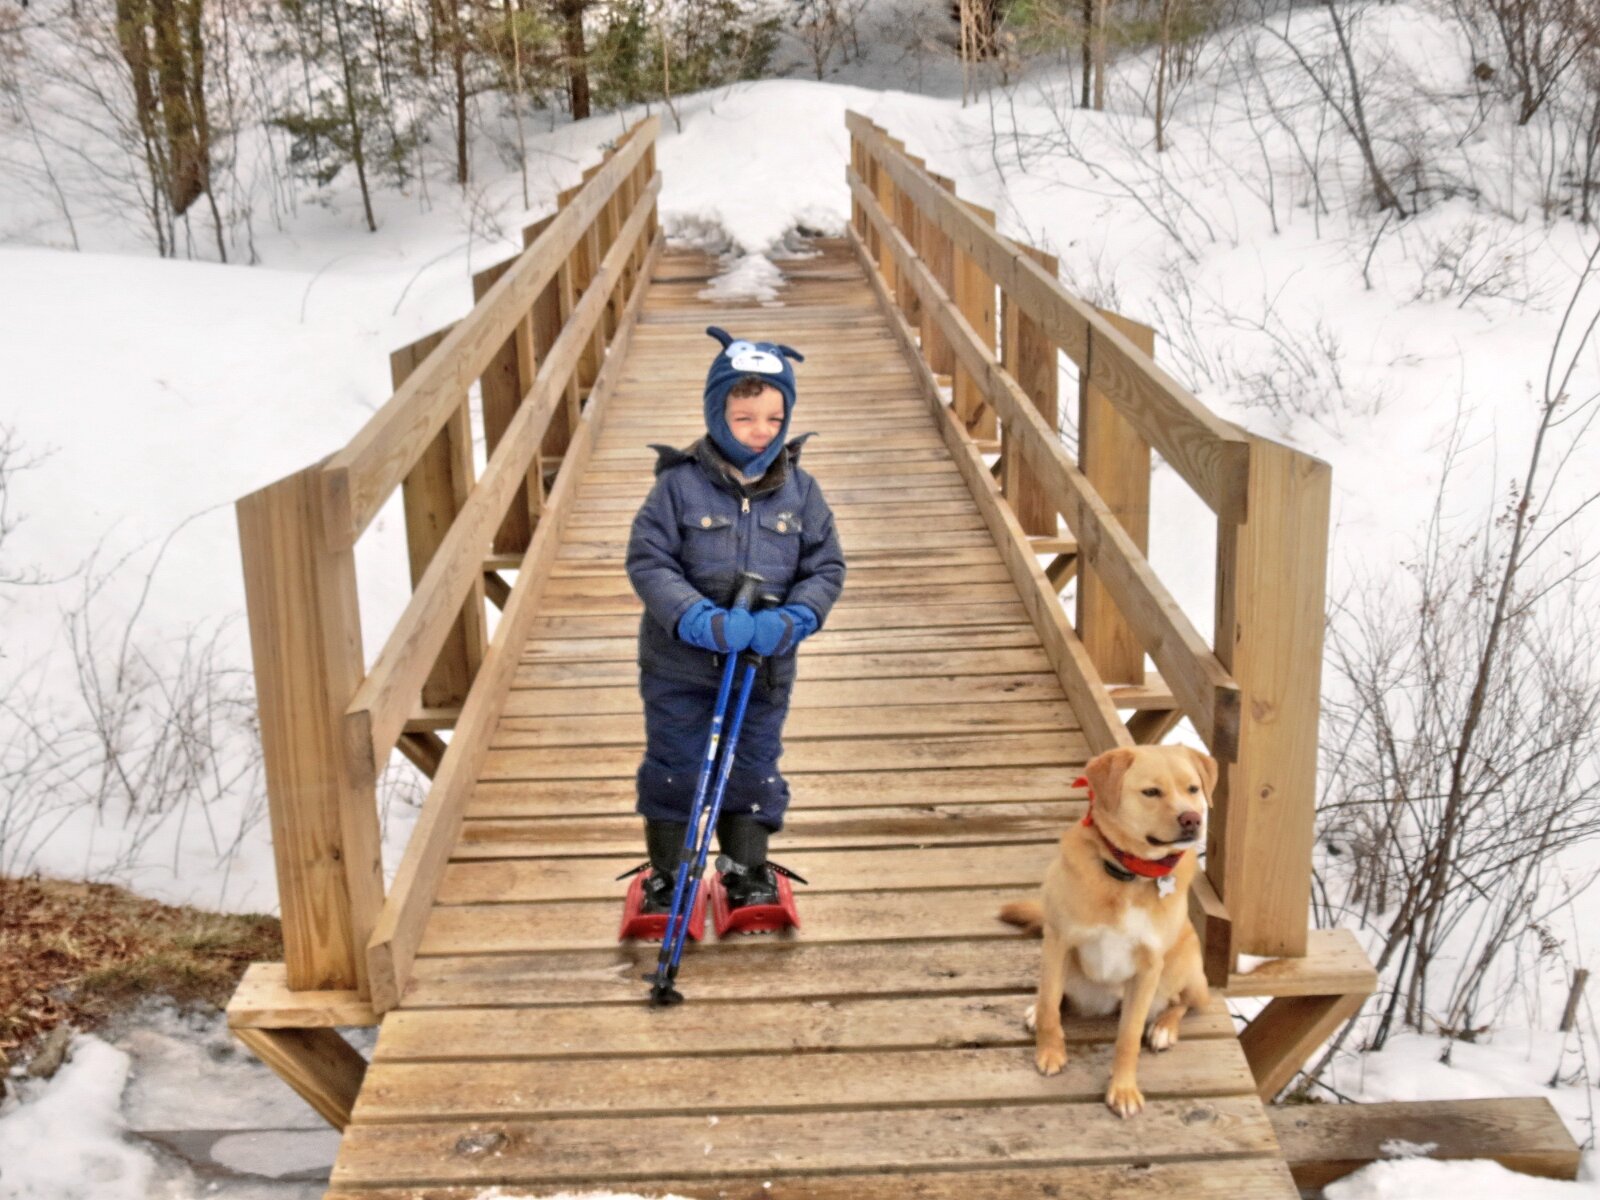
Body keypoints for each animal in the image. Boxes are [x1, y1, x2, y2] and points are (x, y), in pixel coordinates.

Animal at [999, 744, 1216, 1118]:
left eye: (1193, 789)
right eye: (1151, 792)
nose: (1192, 819)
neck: (1130, 874)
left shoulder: (1149, 968)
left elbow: (1128, 1037)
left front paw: (1123, 1089)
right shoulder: (1058, 940)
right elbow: (1049, 1007)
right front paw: (1050, 1051)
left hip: (1185, 966)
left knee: (1185, 1002)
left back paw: (1164, 1027)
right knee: (1052, 995)